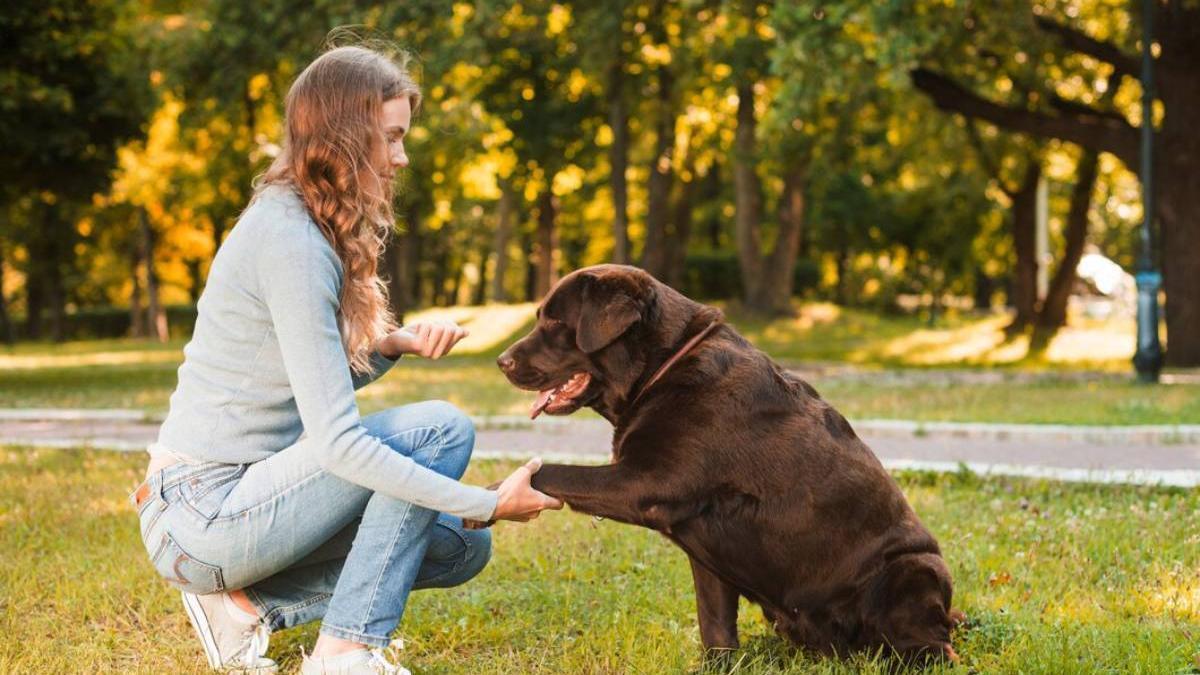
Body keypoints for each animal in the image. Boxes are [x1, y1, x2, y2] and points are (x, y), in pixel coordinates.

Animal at [494, 264, 955, 662]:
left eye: (556, 322)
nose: (502, 361)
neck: (666, 365)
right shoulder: (704, 548)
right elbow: (714, 625)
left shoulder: (647, 482)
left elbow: (553, 470)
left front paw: (496, 493)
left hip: (914, 569)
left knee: (933, 648)